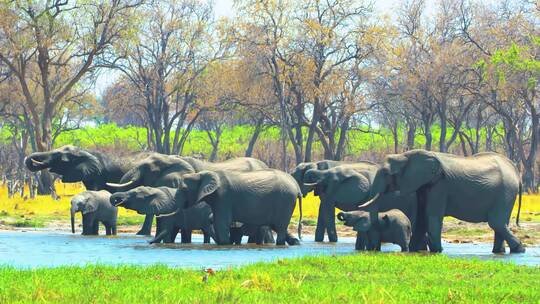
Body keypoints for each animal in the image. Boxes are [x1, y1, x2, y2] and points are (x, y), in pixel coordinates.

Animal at [358, 150, 524, 254]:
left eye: (387, 173)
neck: (406, 155)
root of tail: (516, 171)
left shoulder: (439, 184)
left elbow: (431, 216)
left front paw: (437, 251)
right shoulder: (423, 185)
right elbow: (421, 218)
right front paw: (415, 251)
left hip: (506, 191)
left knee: (496, 222)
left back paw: (519, 250)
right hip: (507, 193)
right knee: (501, 224)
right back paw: (499, 252)